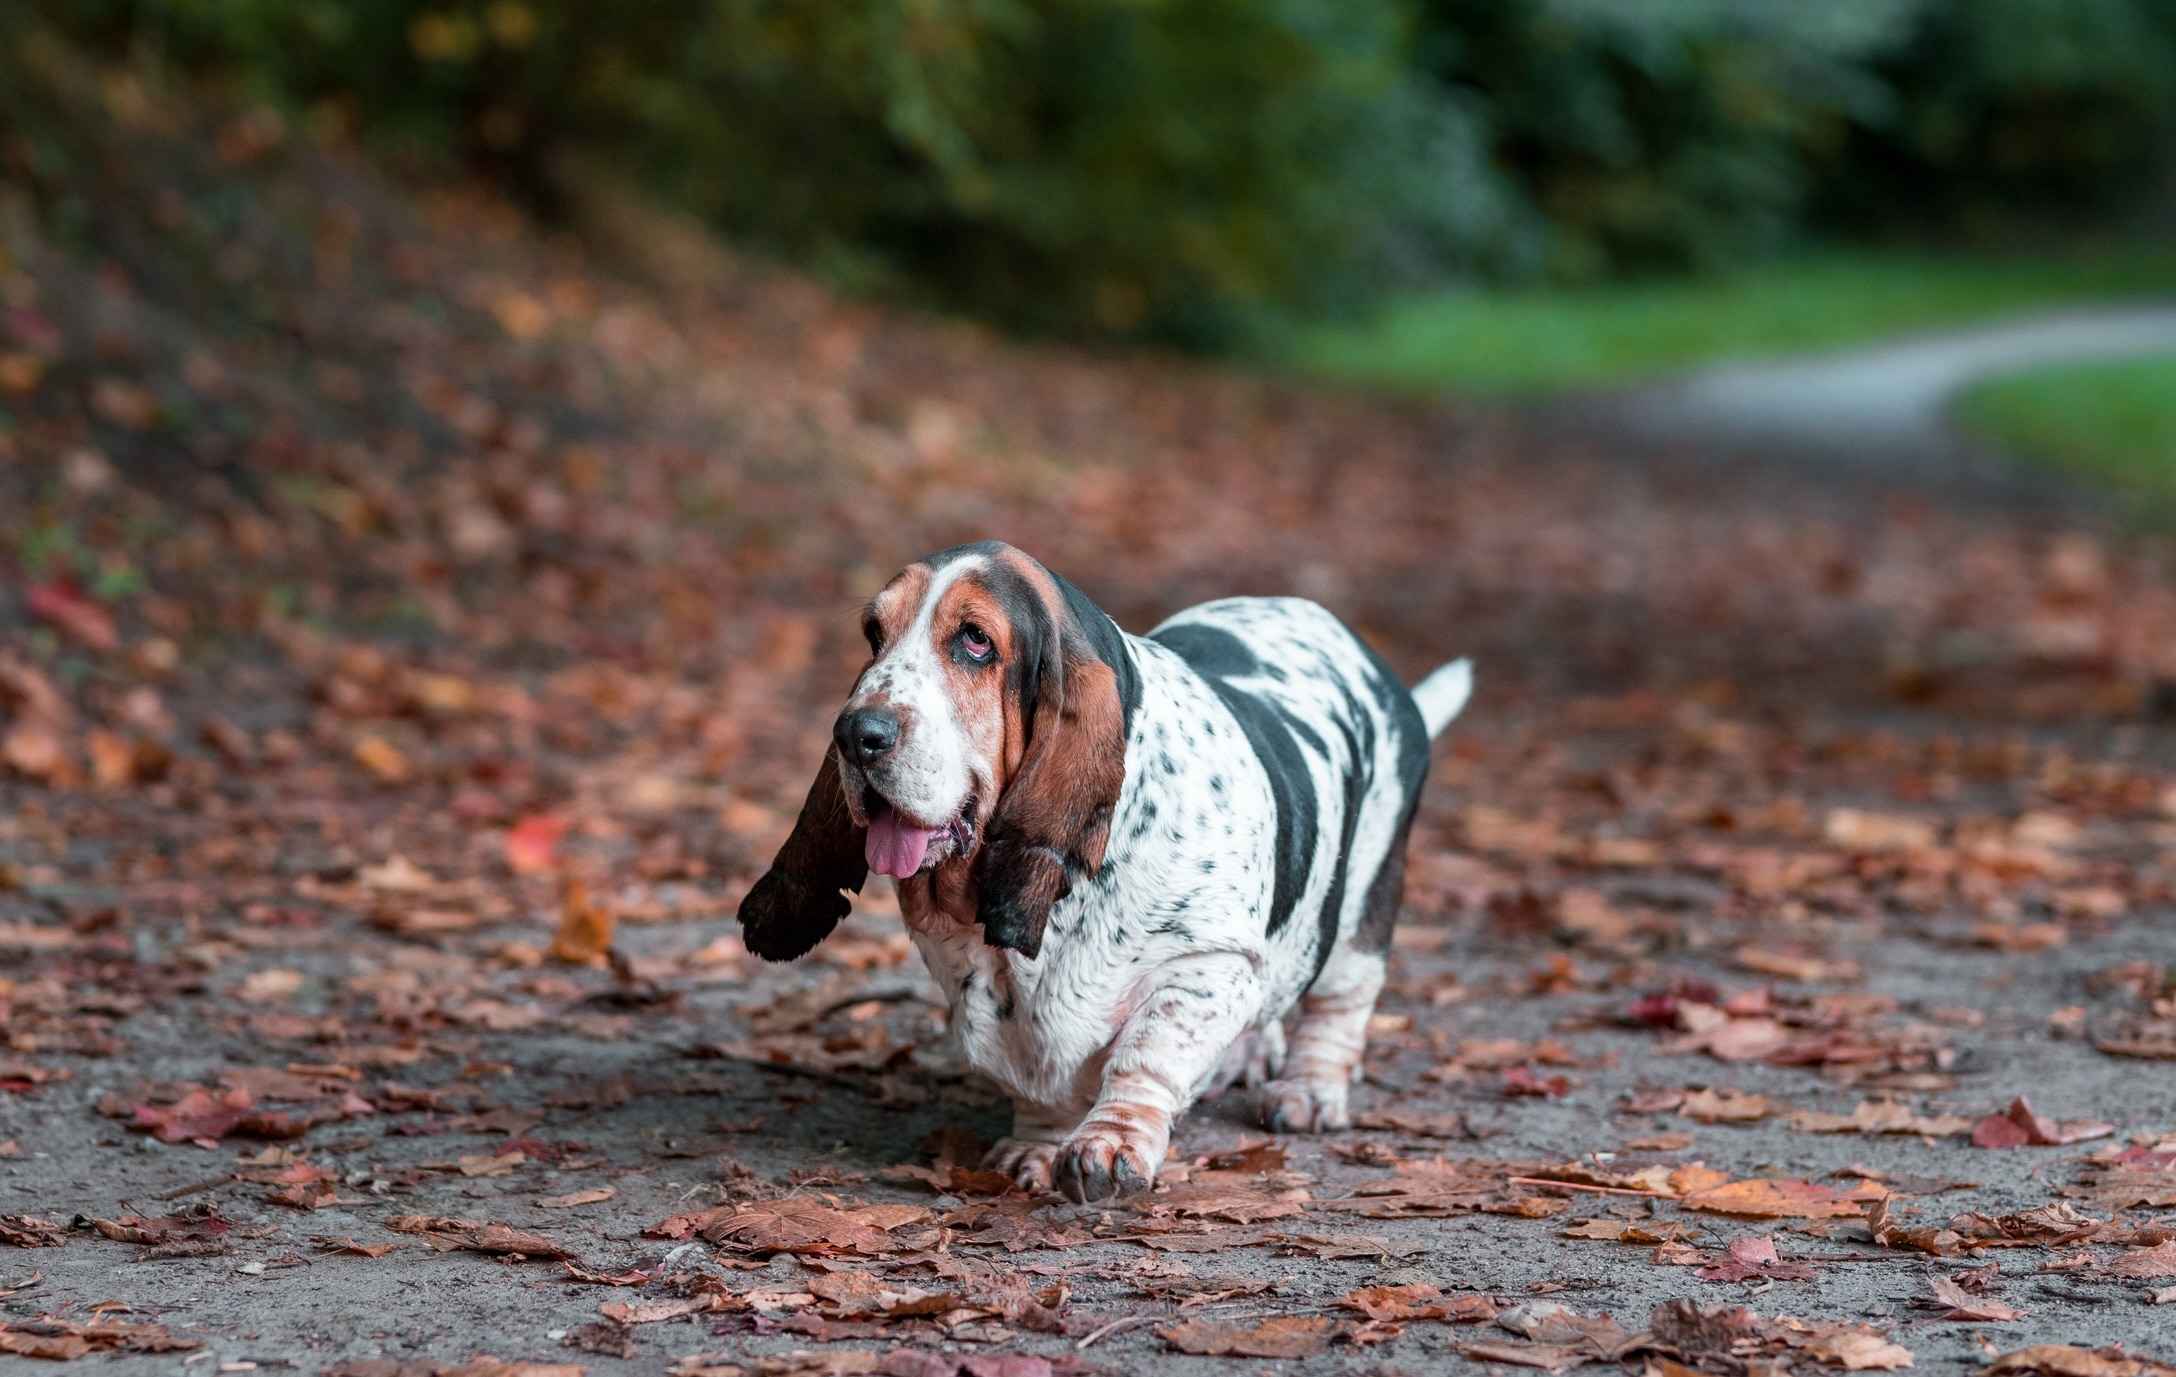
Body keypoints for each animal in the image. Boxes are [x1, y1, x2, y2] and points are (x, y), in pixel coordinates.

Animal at [739, 541, 1470, 1200]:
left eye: (975, 641)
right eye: (874, 633)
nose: (855, 734)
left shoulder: (1207, 964)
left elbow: (1146, 1055)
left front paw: (1111, 1144)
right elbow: (1030, 1069)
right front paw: (1037, 1146)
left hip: (1362, 908)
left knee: (1338, 1005)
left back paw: (1307, 1090)